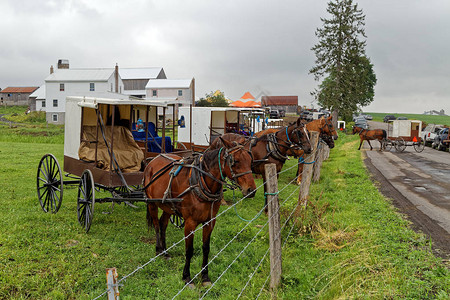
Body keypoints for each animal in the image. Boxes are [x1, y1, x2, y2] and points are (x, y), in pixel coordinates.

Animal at [144, 138, 256, 286]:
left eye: (250, 160)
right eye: (235, 161)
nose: (251, 190)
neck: (200, 181)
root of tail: (153, 160)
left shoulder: (210, 221)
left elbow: (206, 248)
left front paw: (205, 276)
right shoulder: (190, 223)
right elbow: (189, 250)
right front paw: (186, 276)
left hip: (168, 205)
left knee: (163, 224)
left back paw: (165, 252)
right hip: (152, 203)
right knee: (156, 225)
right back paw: (159, 250)